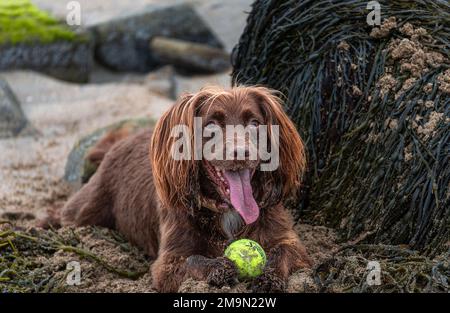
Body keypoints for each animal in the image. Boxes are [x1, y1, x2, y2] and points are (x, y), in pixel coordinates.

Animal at [60, 84, 312, 290]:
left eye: (254, 123)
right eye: (211, 125)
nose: (241, 153)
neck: (227, 210)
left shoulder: (288, 239)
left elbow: (282, 251)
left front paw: (269, 277)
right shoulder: (168, 263)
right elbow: (191, 259)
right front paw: (218, 268)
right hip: (86, 208)